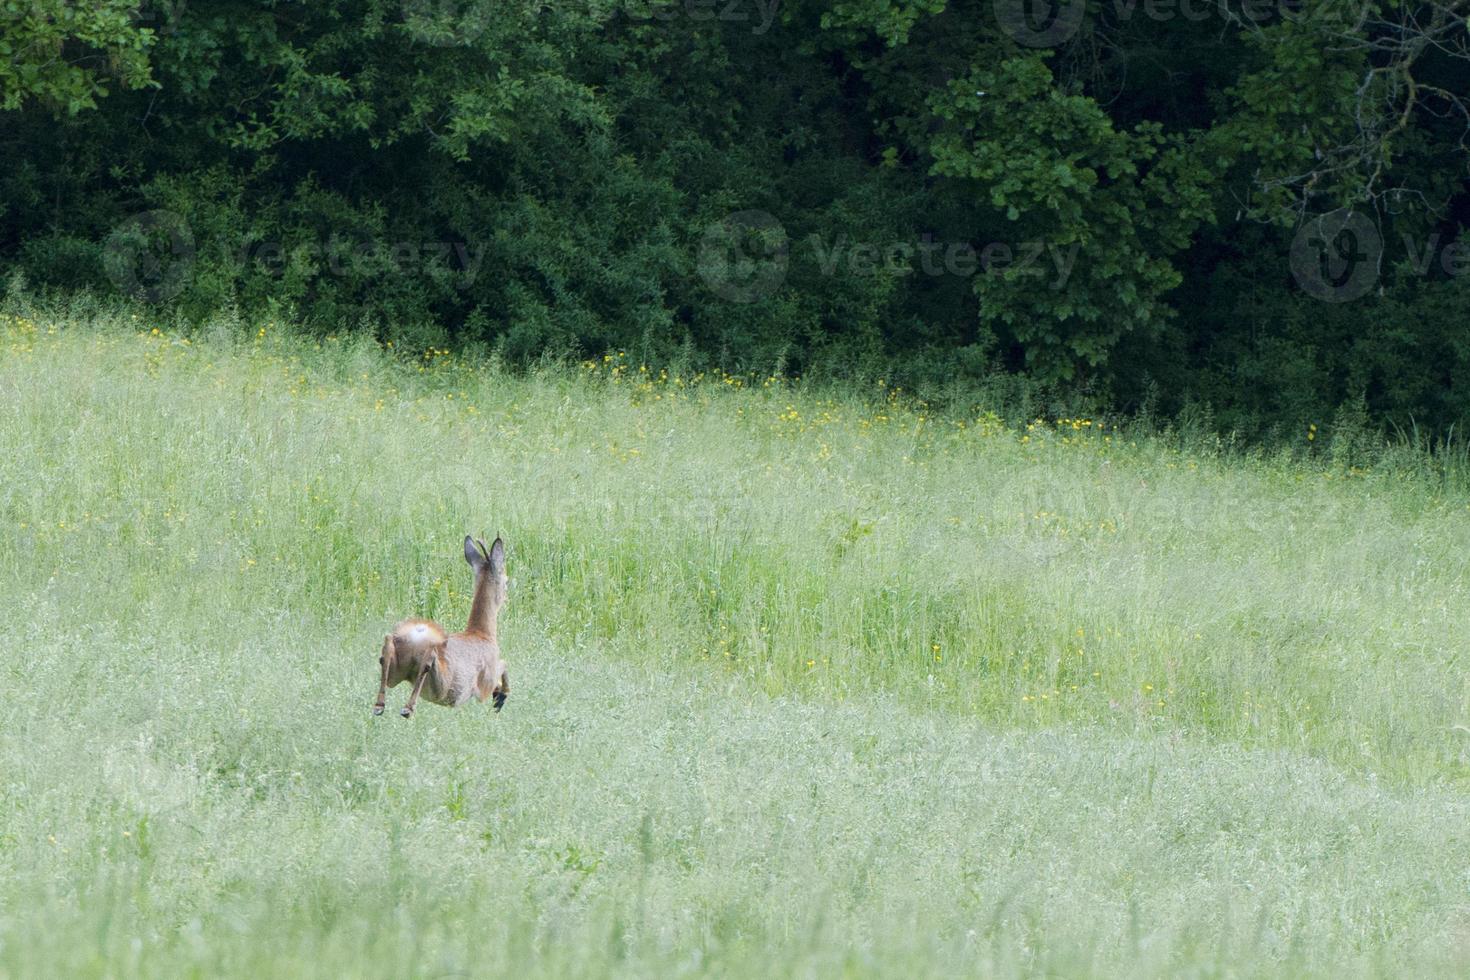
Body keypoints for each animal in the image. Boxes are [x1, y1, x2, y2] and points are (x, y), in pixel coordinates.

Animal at [373, 540, 511, 717]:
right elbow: (504, 664)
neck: (483, 633)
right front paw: (500, 697)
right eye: (506, 581)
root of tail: (416, 637)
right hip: (442, 687)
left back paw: (379, 705)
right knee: (429, 659)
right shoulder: (485, 684)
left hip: (397, 670)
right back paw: (407, 708)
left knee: (387, 650)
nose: (506, 599)